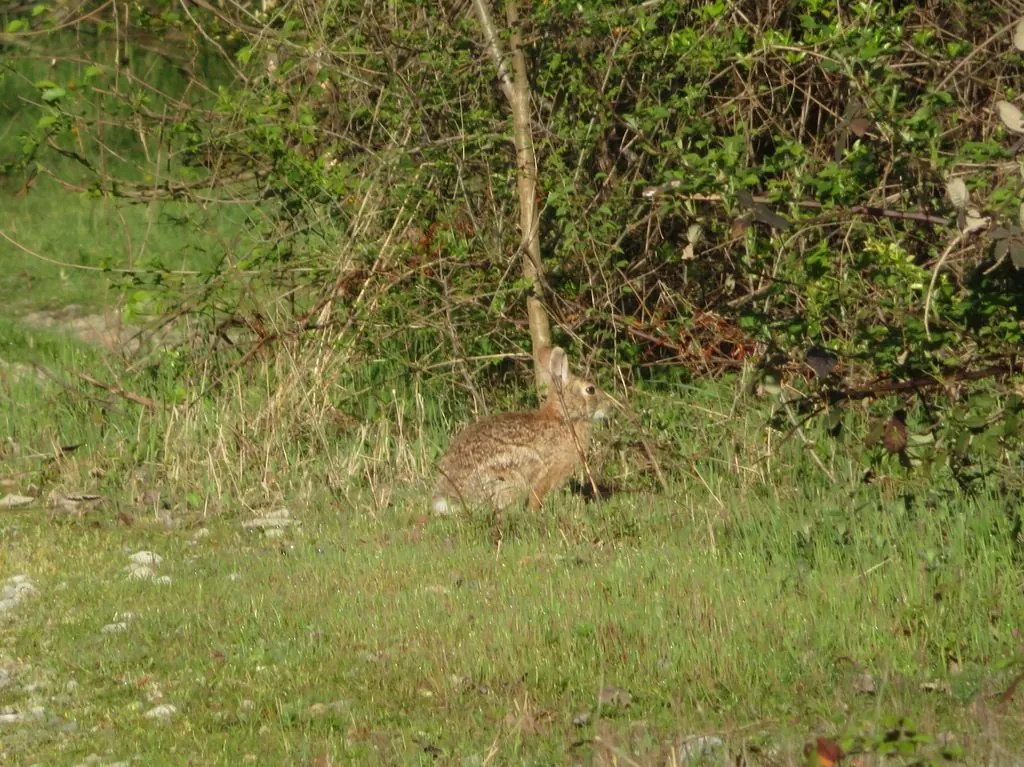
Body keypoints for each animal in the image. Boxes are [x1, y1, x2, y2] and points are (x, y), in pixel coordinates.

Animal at [432, 346, 612, 513]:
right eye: (590, 389)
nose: (609, 406)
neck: (565, 416)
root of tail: (449, 499)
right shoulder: (547, 474)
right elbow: (536, 496)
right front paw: (535, 513)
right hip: (508, 477)